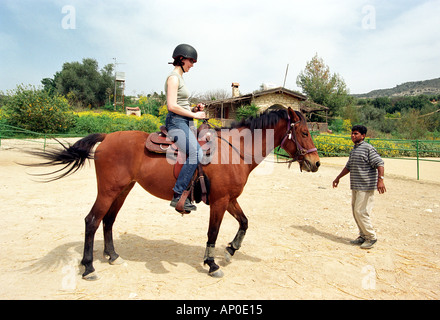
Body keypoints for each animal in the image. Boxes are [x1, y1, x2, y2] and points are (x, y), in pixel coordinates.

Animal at [29, 107, 322, 280]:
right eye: (304, 132)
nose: (316, 163)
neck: (235, 151)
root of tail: (108, 137)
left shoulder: (230, 199)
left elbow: (245, 222)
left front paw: (231, 249)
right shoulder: (219, 201)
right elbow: (212, 232)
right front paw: (211, 263)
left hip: (122, 190)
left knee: (108, 221)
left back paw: (113, 256)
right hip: (108, 191)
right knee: (92, 221)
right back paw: (89, 267)